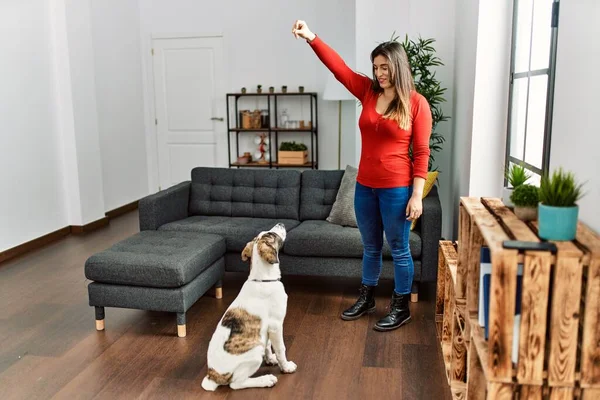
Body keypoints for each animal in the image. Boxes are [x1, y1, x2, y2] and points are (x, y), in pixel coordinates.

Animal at [200, 222, 296, 390]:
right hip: (254, 352)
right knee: (236, 384)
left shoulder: (266, 329)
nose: (281, 223)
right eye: (272, 235)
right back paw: (266, 380)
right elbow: (280, 349)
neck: (263, 279)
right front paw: (286, 367)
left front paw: (270, 359)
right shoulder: (276, 325)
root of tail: (212, 375)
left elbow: (268, 345)